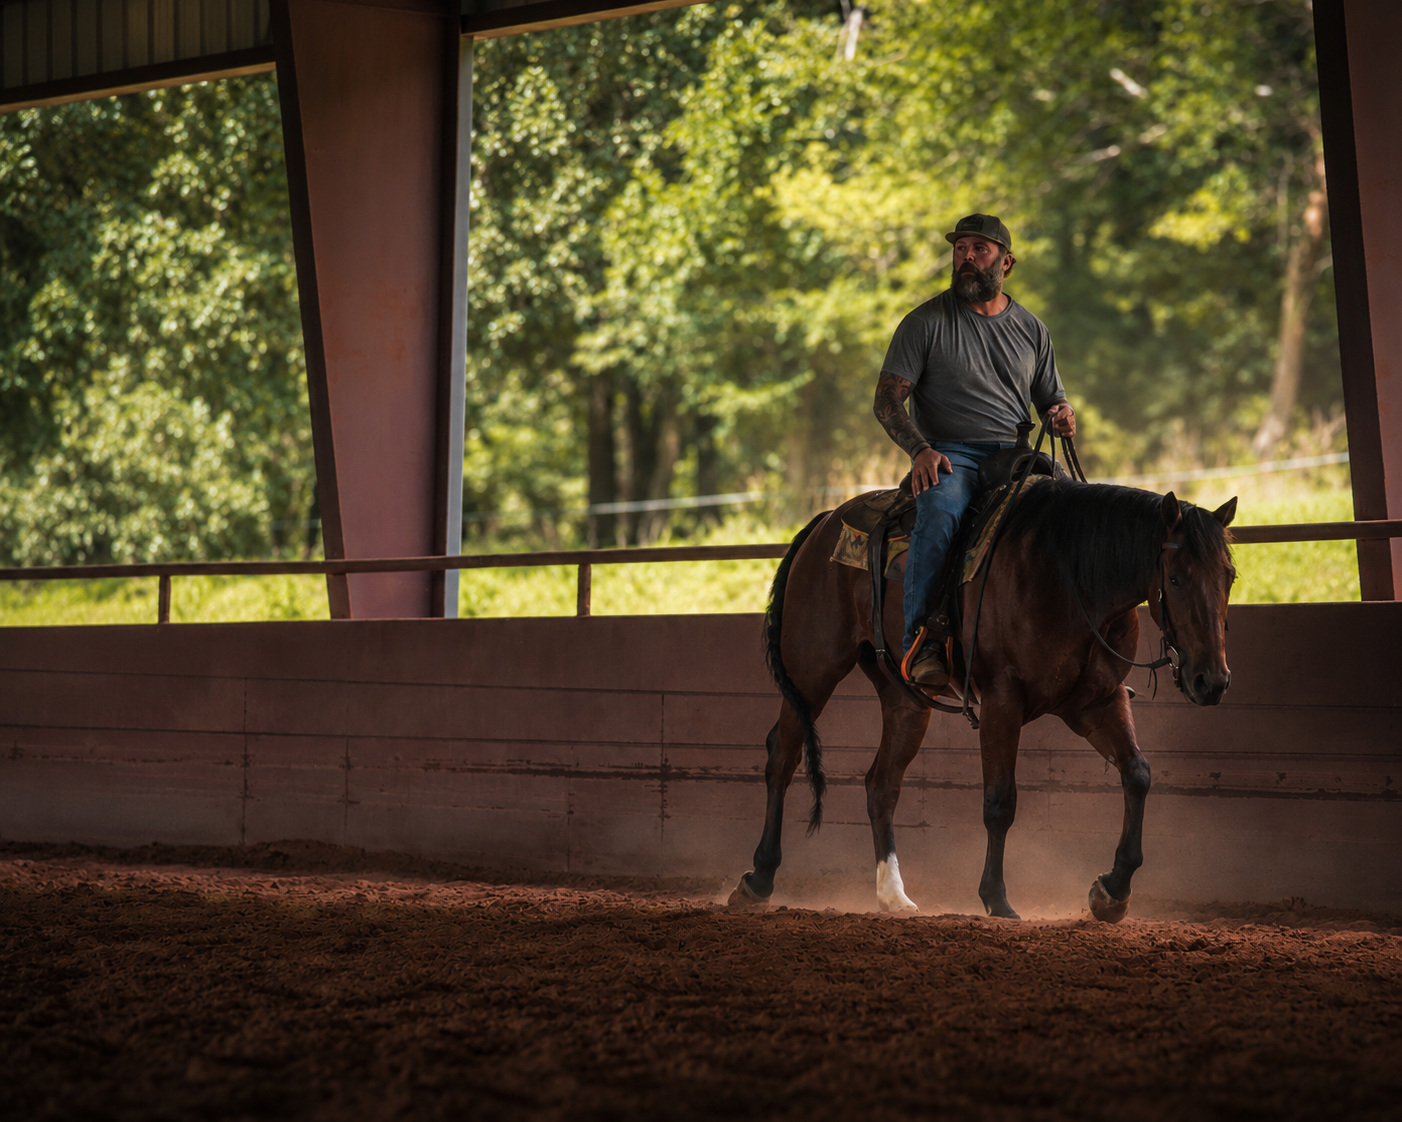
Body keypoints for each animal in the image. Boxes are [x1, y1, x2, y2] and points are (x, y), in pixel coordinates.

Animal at [727, 479, 1237, 922]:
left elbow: (1137, 775)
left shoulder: (1097, 701)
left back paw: (893, 895)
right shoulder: (1001, 700)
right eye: (1175, 579)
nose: (1211, 681)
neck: (1070, 573)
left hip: (905, 699)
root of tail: (824, 524)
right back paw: (758, 878)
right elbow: (999, 801)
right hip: (811, 670)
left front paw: (1112, 891)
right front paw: (997, 898)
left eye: (1229, 577)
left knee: (881, 784)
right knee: (782, 756)